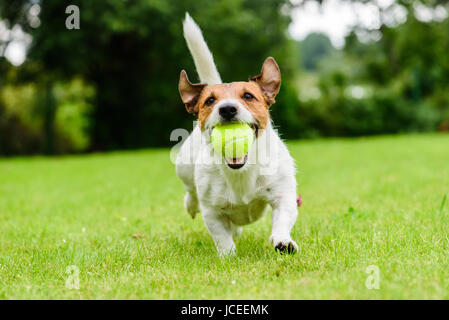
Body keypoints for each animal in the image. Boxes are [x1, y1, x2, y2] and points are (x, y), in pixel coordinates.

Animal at [175, 13, 298, 258]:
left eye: (248, 96)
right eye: (210, 101)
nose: (227, 109)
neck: (240, 172)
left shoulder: (284, 195)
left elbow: (282, 220)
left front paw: (283, 242)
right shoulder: (212, 211)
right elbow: (221, 237)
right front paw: (228, 256)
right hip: (183, 168)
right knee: (190, 192)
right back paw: (191, 205)